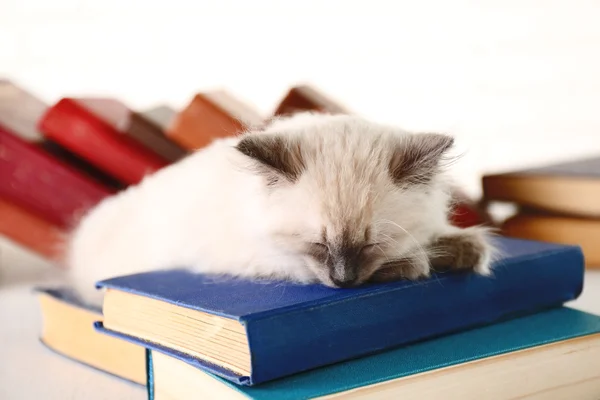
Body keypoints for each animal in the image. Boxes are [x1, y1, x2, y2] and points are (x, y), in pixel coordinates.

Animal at [65, 112, 494, 306]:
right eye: (318, 245)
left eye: (370, 245)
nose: (343, 281)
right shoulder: (266, 259)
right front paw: (420, 262)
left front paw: (462, 248)